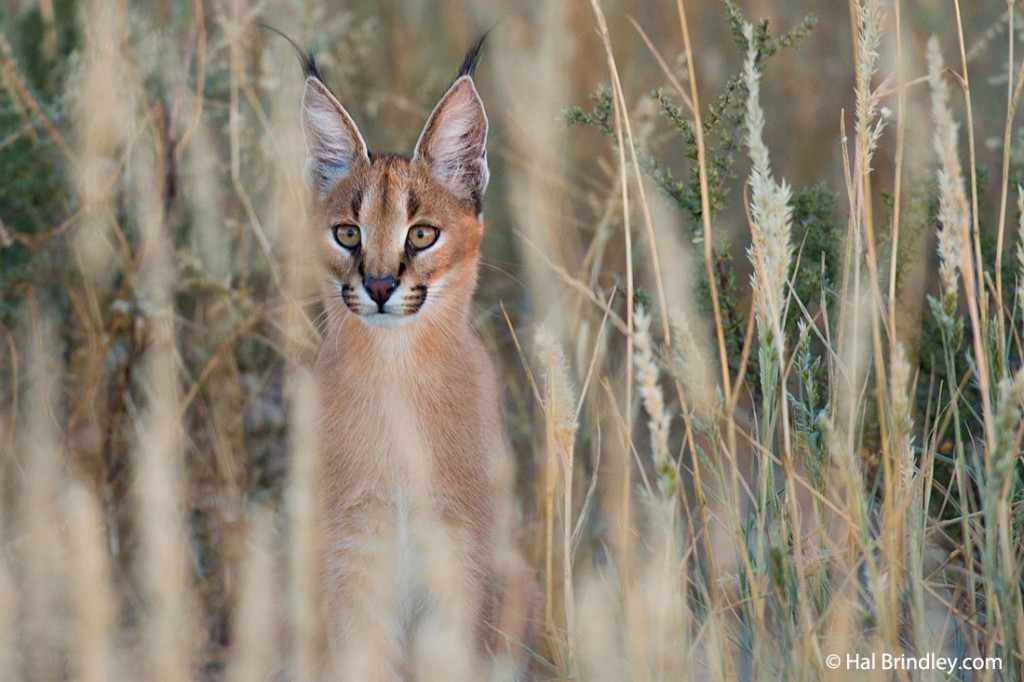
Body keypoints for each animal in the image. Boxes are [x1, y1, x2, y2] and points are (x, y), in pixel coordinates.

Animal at [280, 29, 536, 675]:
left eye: (421, 234)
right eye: (348, 233)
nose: (377, 286)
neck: (397, 373)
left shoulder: (461, 563)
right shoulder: (352, 567)